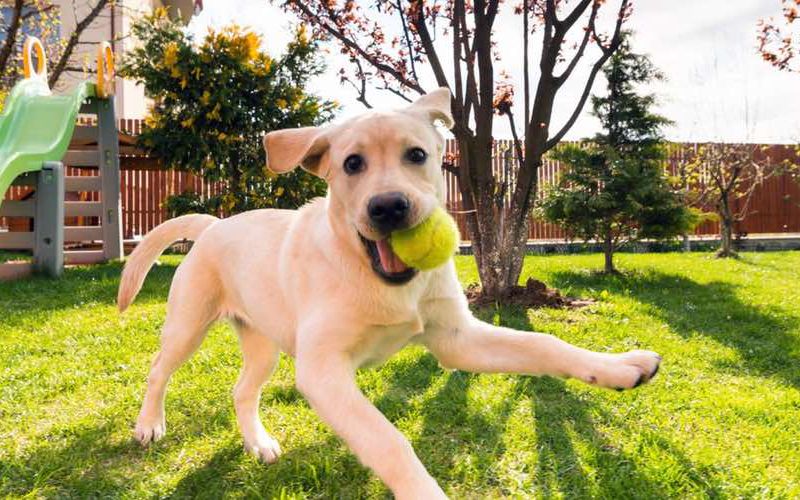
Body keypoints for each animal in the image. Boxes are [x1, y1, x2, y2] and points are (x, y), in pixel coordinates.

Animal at [117, 88, 656, 498]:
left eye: (416, 155)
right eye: (352, 163)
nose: (389, 208)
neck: (377, 278)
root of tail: (213, 224)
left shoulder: (456, 339)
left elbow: (543, 344)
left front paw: (619, 367)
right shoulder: (323, 371)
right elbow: (390, 441)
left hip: (263, 342)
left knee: (242, 390)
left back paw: (259, 444)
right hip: (189, 324)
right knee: (158, 371)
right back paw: (149, 425)